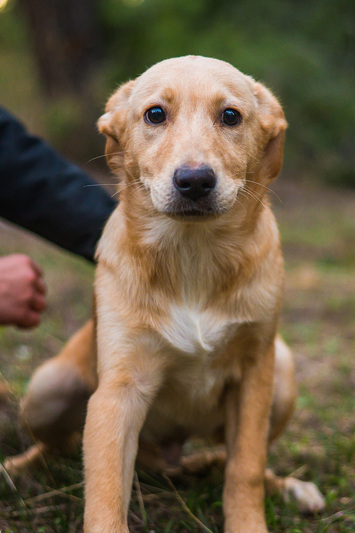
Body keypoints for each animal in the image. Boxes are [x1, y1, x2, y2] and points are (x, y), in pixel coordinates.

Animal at [6, 56, 326, 528]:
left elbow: (245, 468)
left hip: (282, 371)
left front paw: (249, 521)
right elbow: (104, 493)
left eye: (231, 116)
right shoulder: (118, 392)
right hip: (47, 390)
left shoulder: (255, 374)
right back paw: (20, 468)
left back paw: (280, 484)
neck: (193, 256)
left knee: (230, 459)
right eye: (155, 114)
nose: (194, 181)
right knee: (60, 446)